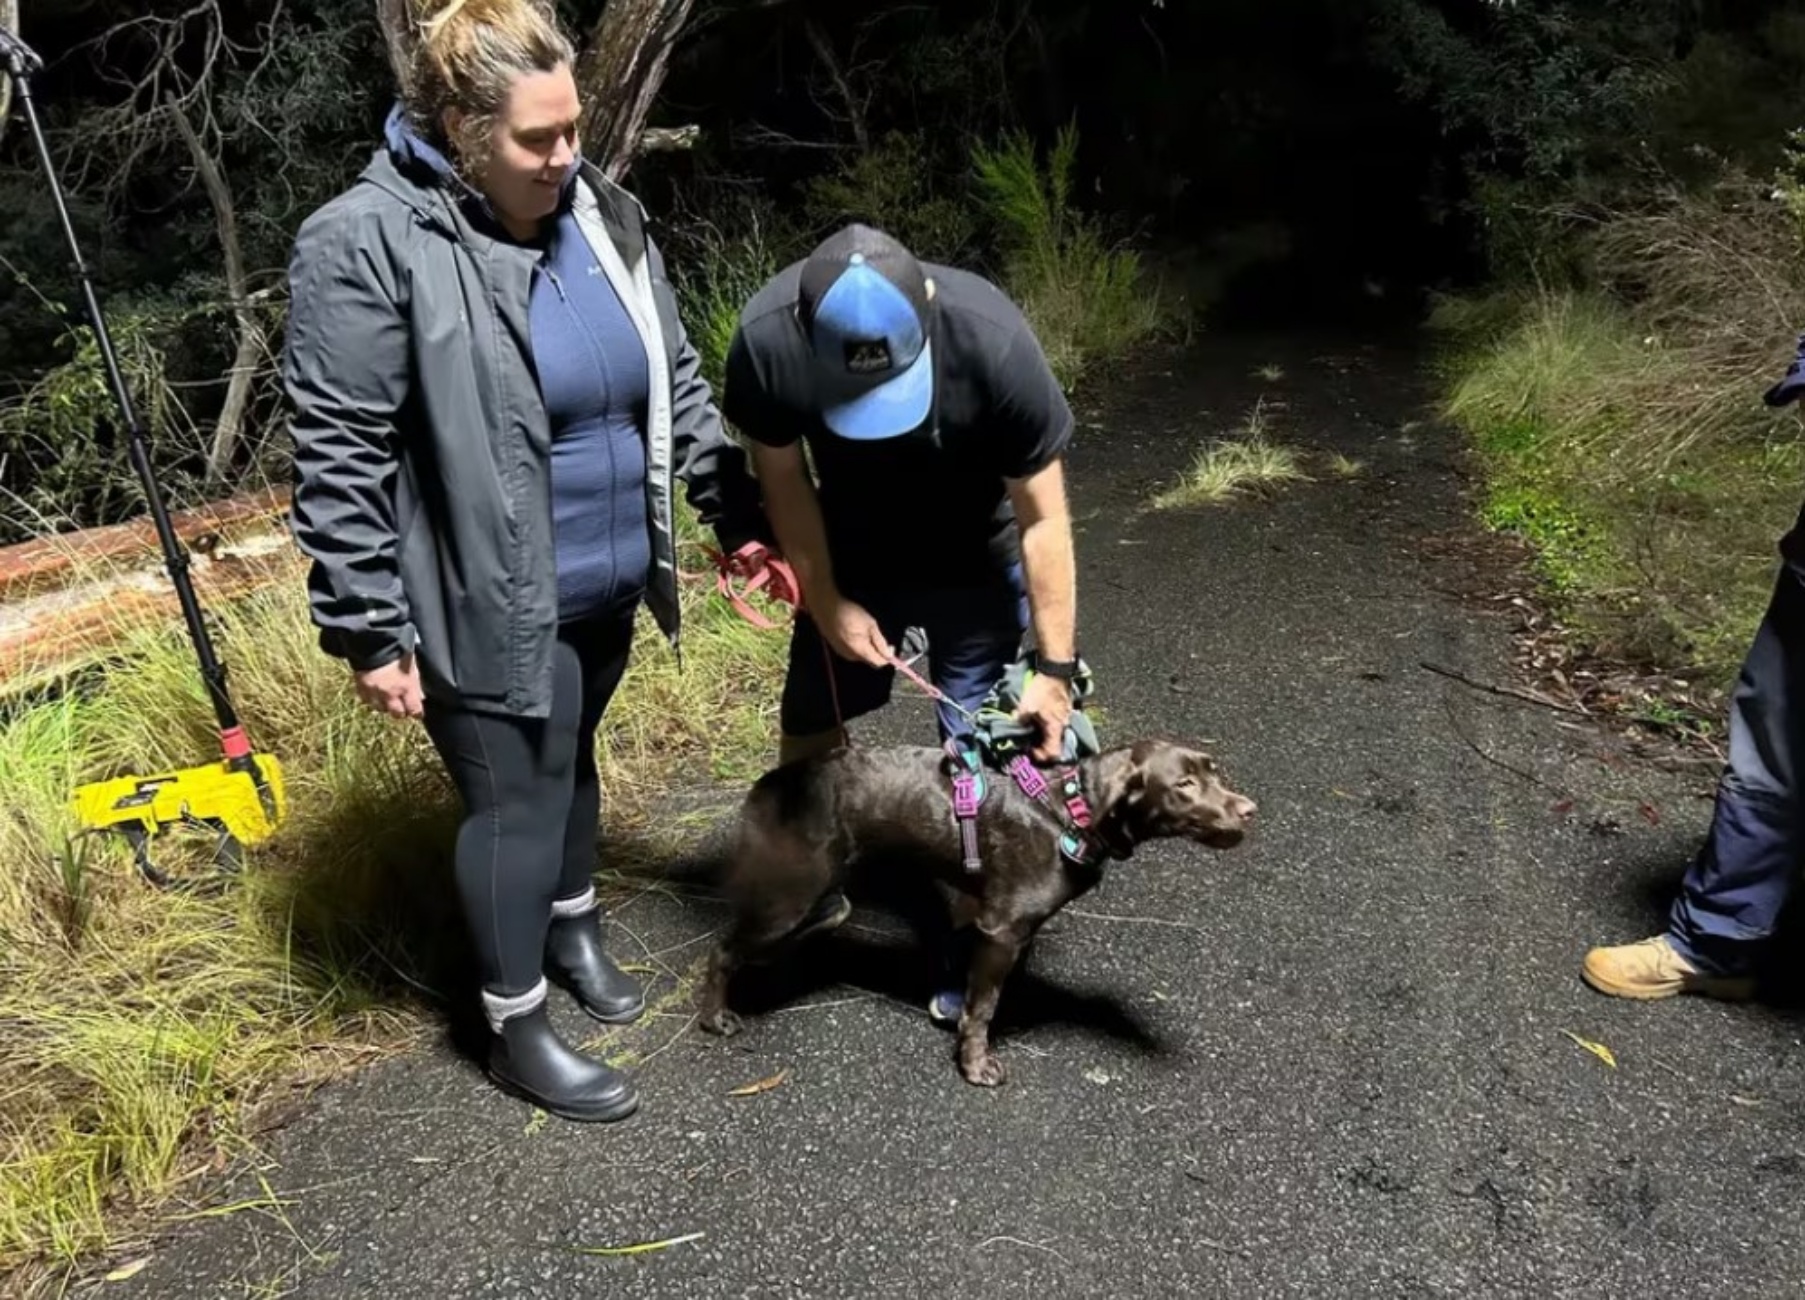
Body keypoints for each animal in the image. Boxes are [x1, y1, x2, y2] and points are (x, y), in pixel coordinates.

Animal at [689, 736, 1256, 1083]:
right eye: (1183, 785)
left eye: (1213, 771)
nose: (1249, 810)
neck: (1071, 811)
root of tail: (768, 784)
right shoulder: (1001, 930)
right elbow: (983, 1008)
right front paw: (976, 1063)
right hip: (791, 896)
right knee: (722, 950)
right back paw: (715, 1017)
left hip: (821, 898)